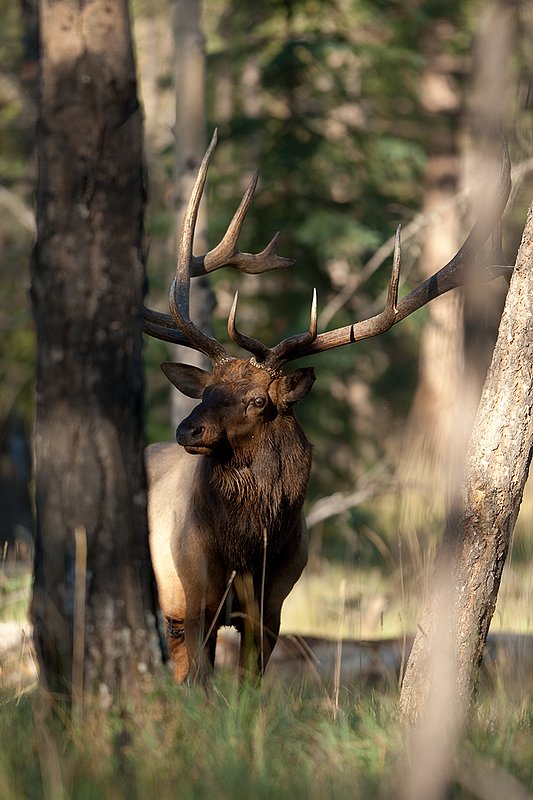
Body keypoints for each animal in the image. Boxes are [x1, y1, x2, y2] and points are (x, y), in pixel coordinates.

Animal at [144, 131, 511, 685]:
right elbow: (199, 687)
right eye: (206, 391)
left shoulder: (272, 608)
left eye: (258, 400)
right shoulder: (192, 599)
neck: (251, 549)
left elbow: (249, 688)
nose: (188, 430)